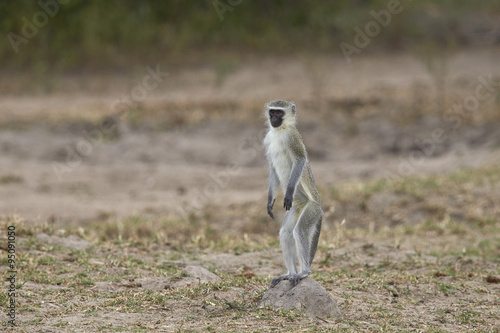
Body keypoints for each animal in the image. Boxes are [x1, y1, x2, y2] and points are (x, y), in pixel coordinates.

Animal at [264, 98, 322, 286]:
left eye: (279, 112)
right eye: (272, 112)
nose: (274, 119)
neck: (279, 131)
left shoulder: (293, 138)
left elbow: (300, 160)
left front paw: (288, 193)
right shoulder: (268, 141)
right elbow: (272, 169)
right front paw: (270, 201)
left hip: (312, 210)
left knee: (300, 231)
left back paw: (304, 272)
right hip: (297, 208)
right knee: (285, 233)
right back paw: (289, 273)